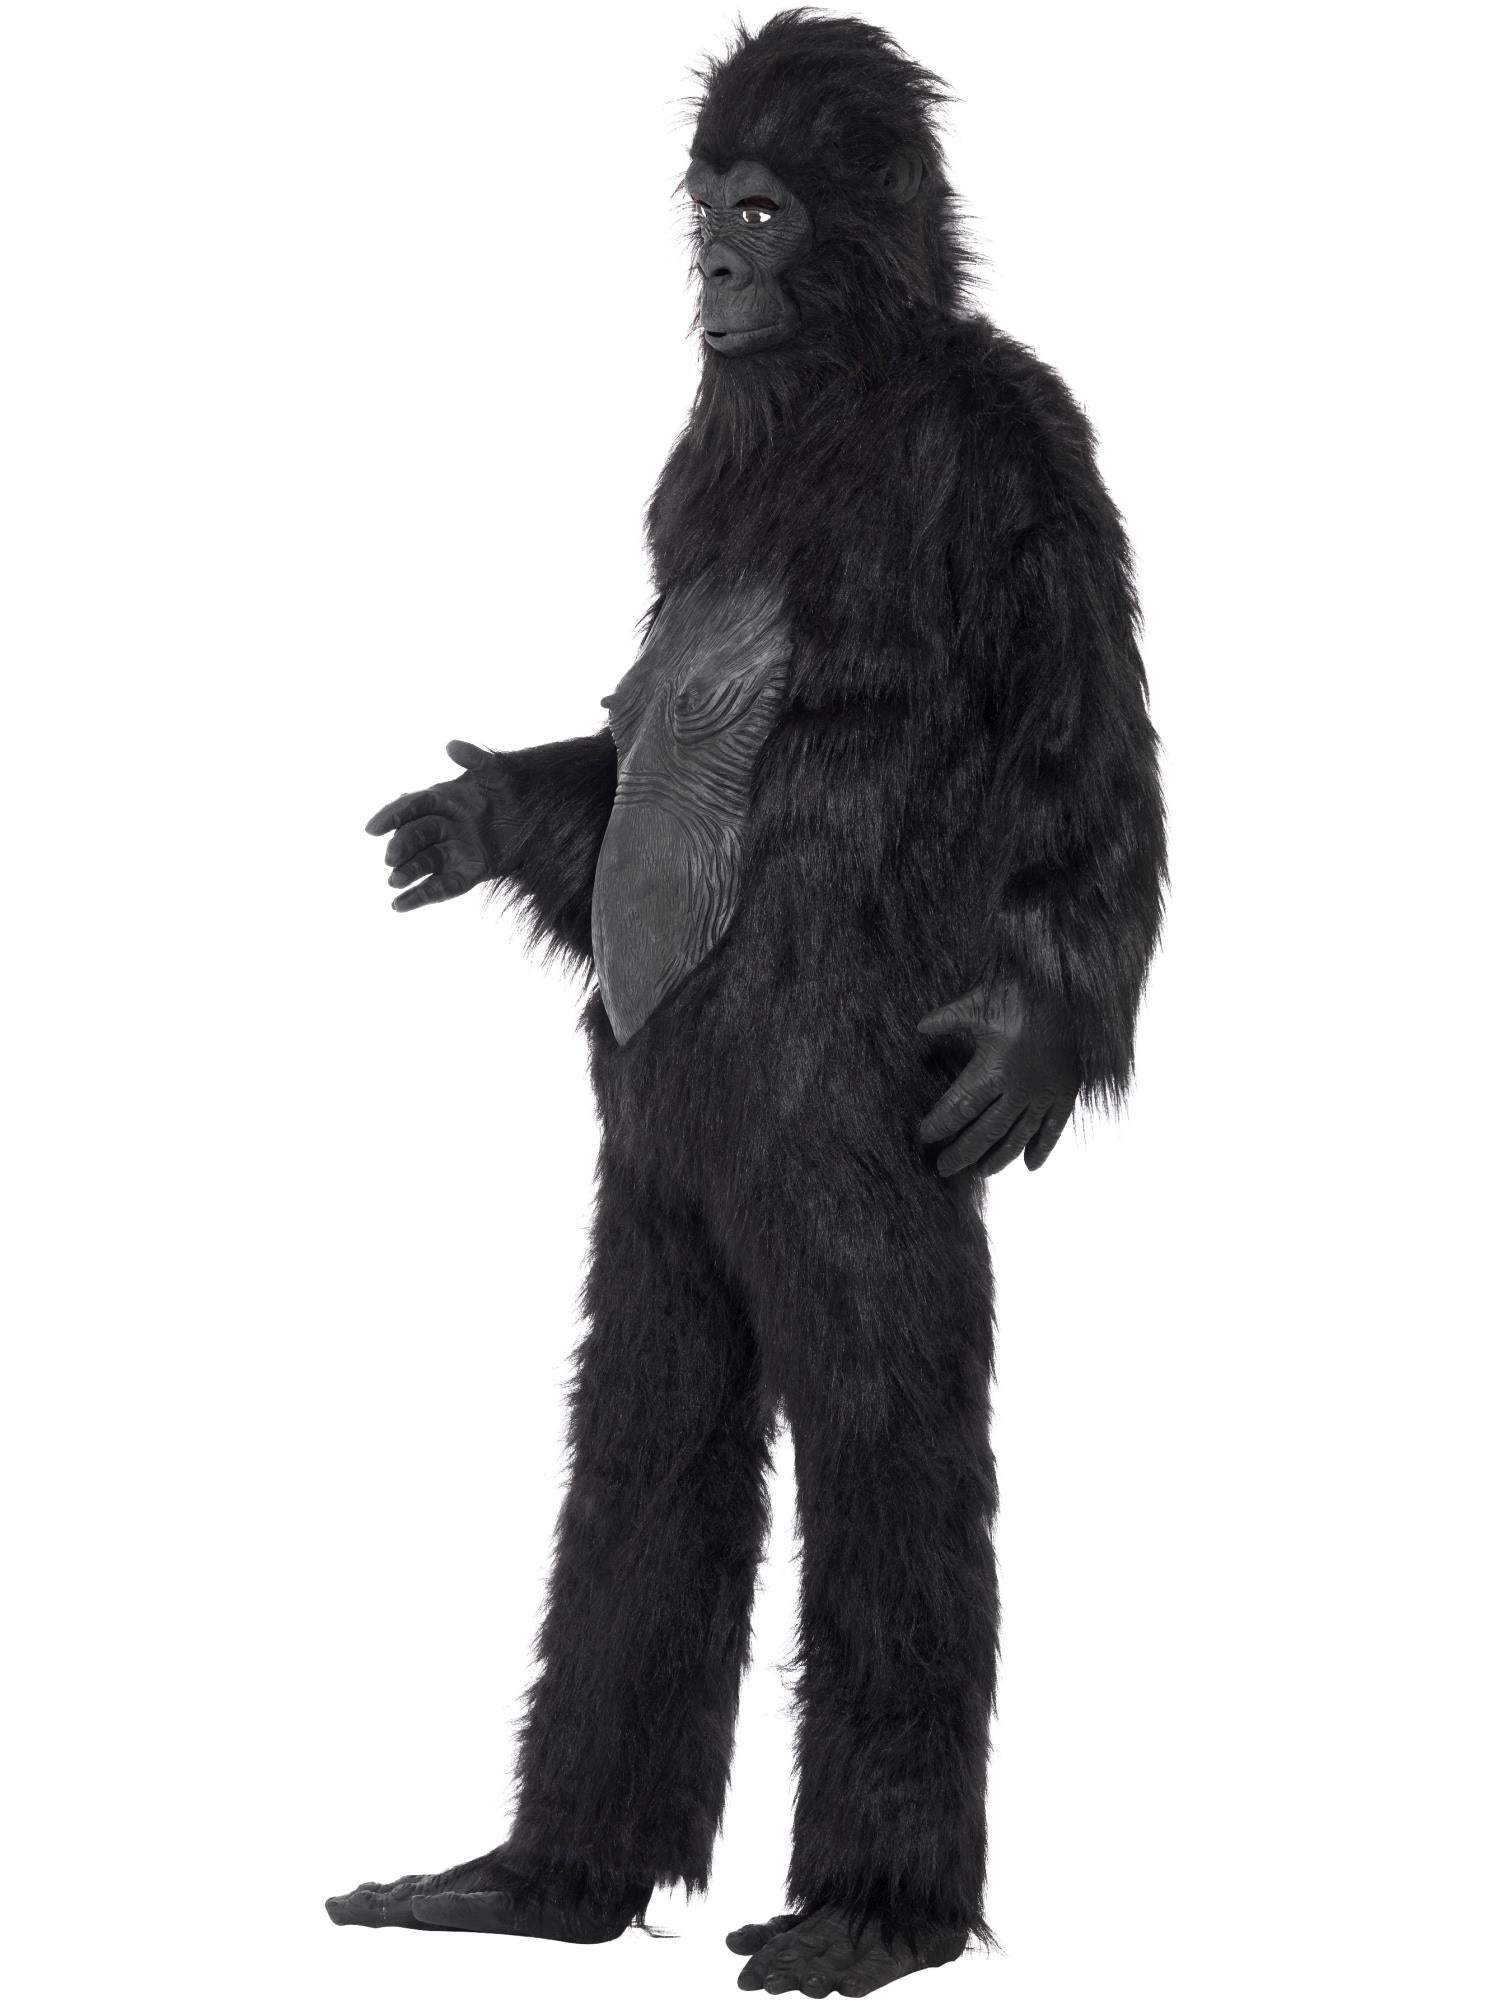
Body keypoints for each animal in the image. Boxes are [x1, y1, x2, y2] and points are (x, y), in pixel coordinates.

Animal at [327, 14, 1165, 1994]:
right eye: (709, 205)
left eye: (768, 213)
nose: (712, 271)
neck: (848, 388)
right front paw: (475, 820)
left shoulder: (1028, 458)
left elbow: (1089, 772)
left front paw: (1026, 1045)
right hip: (664, 1191)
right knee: (647, 1425)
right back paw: (542, 1883)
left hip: (827, 1163)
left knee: (887, 1436)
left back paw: (872, 1916)